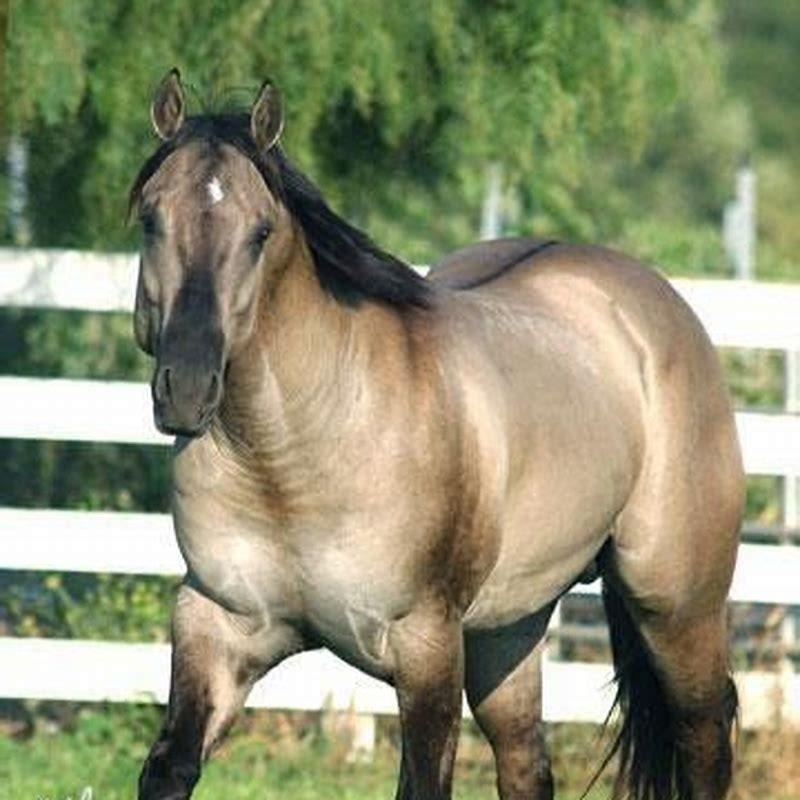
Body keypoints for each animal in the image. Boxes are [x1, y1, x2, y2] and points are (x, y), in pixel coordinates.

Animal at [132, 69, 743, 800]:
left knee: (704, 734)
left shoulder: (424, 646)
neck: (295, 457)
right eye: (150, 218)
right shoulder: (217, 624)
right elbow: (171, 766)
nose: (188, 387)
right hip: (509, 628)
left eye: (260, 233)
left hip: (677, 609)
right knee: (526, 763)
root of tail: (658, 305)